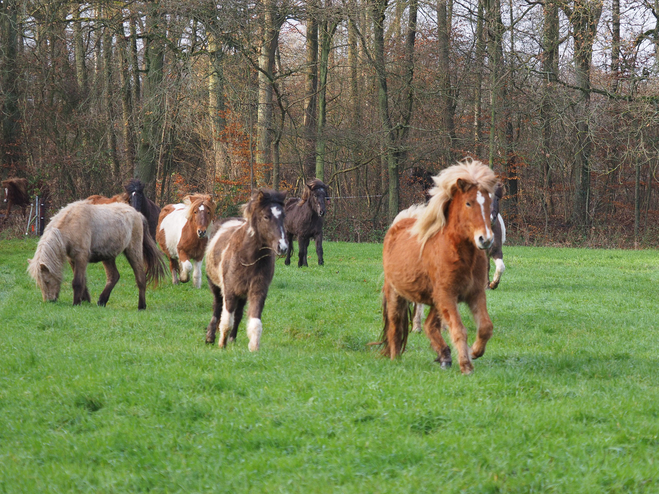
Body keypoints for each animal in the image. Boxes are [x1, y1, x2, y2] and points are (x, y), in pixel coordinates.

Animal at [27, 200, 168, 308]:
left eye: (46, 281)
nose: (49, 301)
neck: (71, 224)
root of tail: (138, 214)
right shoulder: (72, 259)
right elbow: (83, 281)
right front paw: (85, 300)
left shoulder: (81, 257)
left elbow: (77, 281)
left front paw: (76, 303)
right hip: (108, 257)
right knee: (114, 276)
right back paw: (102, 301)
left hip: (133, 252)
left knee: (140, 277)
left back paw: (141, 306)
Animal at [205, 188, 288, 352]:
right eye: (266, 216)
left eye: (283, 216)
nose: (282, 247)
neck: (248, 258)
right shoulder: (229, 291)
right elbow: (226, 320)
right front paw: (221, 344)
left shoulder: (258, 291)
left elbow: (255, 322)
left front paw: (254, 347)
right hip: (216, 286)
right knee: (217, 307)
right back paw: (210, 336)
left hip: (242, 294)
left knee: (238, 314)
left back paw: (232, 339)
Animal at [378, 161, 498, 374]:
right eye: (468, 203)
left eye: (488, 203)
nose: (485, 239)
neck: (460, 253)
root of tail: (398, 223)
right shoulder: (447, 295)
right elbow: (459, 330)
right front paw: (466, 366)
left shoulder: (474, 293)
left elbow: (485, 327)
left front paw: (474, 352)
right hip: (397, 294)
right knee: (395, 327)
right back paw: (396, 360)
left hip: (436, 300)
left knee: (429, 326)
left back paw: (445, 356)